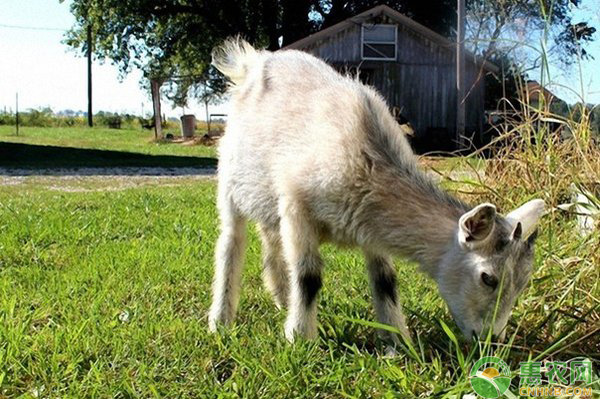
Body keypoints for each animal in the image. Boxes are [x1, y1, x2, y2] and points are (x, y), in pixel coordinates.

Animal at [209, 39, 548, 348]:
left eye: (523, 284)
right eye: (488, 277)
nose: (492, 340)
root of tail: (251, 63)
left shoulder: (370, 222)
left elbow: (385, 280)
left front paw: (397, 343)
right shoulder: (296, 204)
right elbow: (308, 276)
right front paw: (300, 339)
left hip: (267, 202)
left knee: (270, 242)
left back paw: (280, 298)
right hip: (230, 180)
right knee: (231, 242)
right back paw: (221, 320)